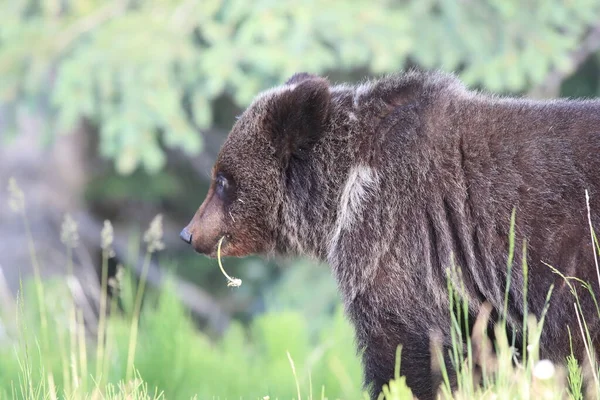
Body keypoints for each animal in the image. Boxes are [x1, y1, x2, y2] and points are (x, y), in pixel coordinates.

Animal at [180, 70, 600, 398]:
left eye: (222, 180)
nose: (188, 233)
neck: (343, 191)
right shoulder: (474, 294)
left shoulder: (398, 243)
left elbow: (403, 353)